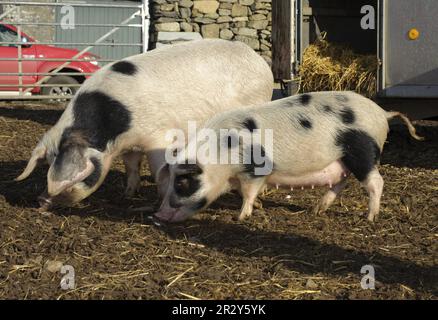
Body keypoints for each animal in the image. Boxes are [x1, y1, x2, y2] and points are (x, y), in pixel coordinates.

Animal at [16, 38, 274, 209]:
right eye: (48, 162)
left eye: (77, 176)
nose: (40, 200)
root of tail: (259, 60)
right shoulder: (130, 146)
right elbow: (131, 167)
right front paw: (128, 195)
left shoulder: (158, 138)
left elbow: (159, 170)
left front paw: (159, 199)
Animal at [155, 90, 424, 222]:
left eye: (182, 182)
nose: (157, 215)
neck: (221, 155)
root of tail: (382, 113)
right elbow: (243, 191)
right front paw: (258, 206)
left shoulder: (255, 168)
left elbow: (248, 192)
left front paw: (240, 217)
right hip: (341, 159)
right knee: (341, 182)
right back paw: (318, 210)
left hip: (362, 152)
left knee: (376, 182)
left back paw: (369, 218)